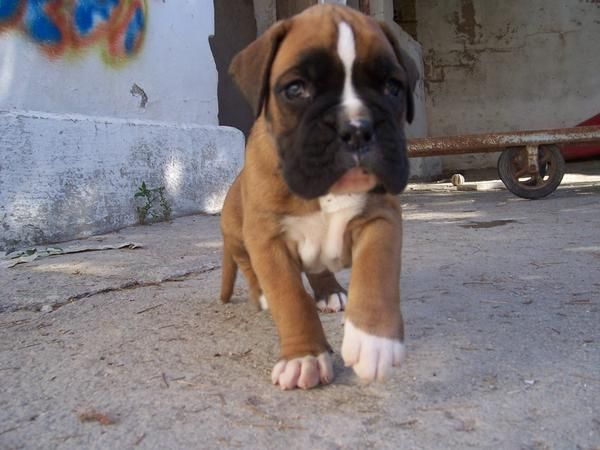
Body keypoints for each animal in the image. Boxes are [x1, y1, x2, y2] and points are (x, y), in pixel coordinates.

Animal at [219, 3, 418, 388]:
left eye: (393, 87)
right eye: (296, 89)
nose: (357, 129)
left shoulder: (381, 218)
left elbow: (376, 271)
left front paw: (374, 340)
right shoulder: (267, 240)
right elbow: (291, 299)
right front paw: (304, 356)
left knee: (319, 269)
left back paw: (331, 292)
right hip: (238, 237)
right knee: (249, 267)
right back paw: (262, 295)